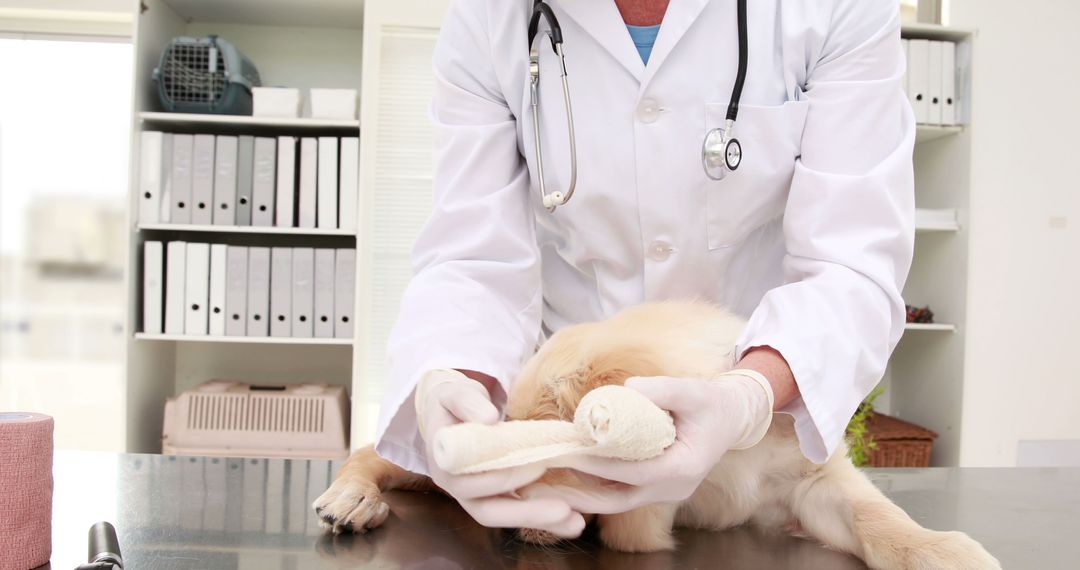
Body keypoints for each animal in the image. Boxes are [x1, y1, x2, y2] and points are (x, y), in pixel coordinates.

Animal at [315, 300, 997, 565]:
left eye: (549, 454)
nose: (505, 532)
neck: (726, 461)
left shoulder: (811, 483)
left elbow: (878, 518)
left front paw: (941, 550)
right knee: (372, 451)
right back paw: (352, 500)